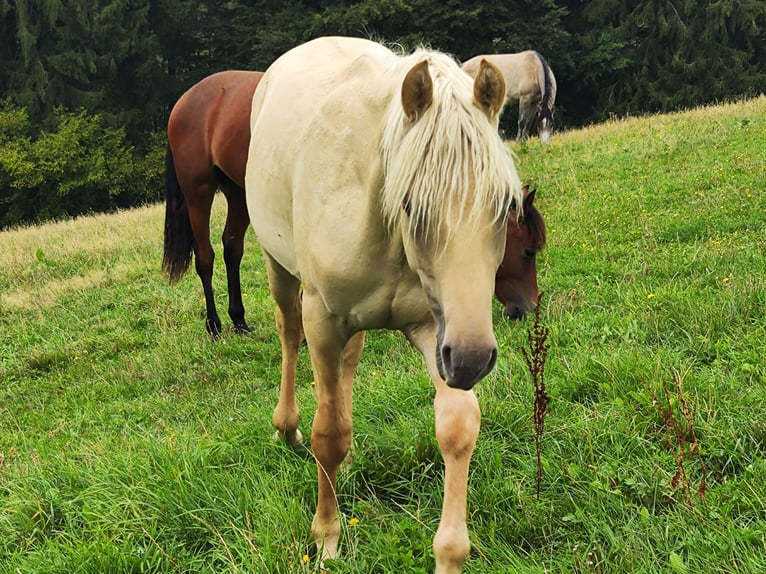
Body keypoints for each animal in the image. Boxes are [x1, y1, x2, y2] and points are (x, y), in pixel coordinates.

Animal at [162, 70, 263, 339]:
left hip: (238, 192)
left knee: (232, 248)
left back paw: (239, 320)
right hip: (198, 195)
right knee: (205, 258)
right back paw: (214, 326)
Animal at [245, 36, 523, 573]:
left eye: (505, 205)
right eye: (412, 204)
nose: (474, 358)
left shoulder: (437, 329)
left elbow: (457, 427)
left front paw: (450, 554)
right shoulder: (324, 320)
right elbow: (328, 432)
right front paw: (327, 538)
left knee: (349, 366)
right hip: (279, 269)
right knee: (289, 335)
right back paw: (286, 429)